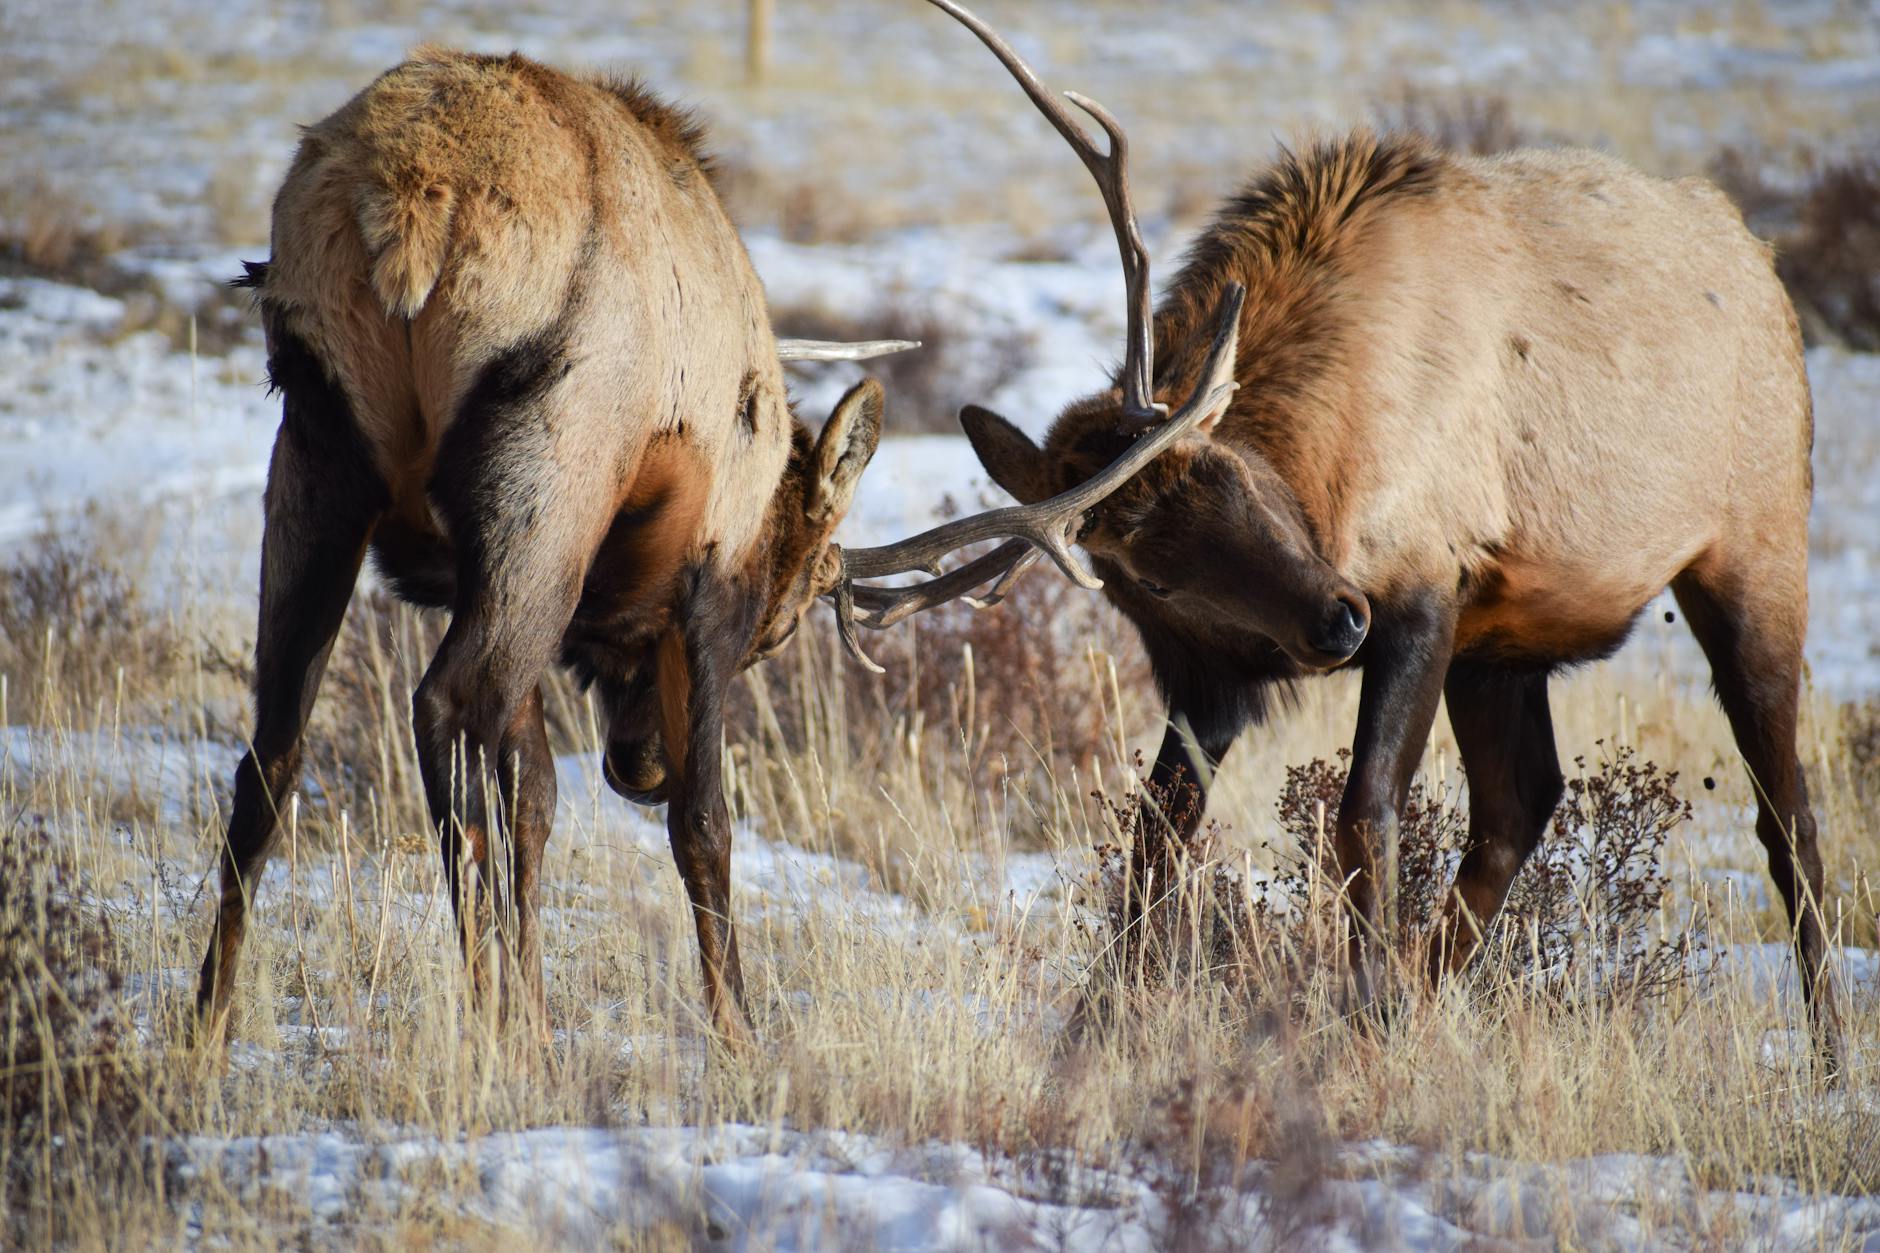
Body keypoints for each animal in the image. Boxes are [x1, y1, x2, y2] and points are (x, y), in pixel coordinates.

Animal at [191, 44, 1246, 1047]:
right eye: (780, 628)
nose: (637, 763)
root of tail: (408, 207)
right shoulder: (707, 581)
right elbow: (705, 823)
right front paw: (738, 1034)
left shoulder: (476, 574)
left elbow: (535, 795)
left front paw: (544, 1019)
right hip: (552, 468)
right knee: (449, 707)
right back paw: (484, 1029)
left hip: (320, 446)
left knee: (273, 751)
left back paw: (209, 1028)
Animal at [920, 0, 1842, 1070]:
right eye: (1145, 575)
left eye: (1225, 466)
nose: (1336, 620)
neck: (1331, 459)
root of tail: (1764, 266)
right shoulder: (1214, 669)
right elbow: (1158, 832)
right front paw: (1092, 1027)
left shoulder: (1426, 586)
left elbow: (1362, 811)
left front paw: (1358, 1018)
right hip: (1505, 644)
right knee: (1521, 802)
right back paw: (1423, 994)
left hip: (1754, 547)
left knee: (1787, 815)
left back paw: (1828, 1054)